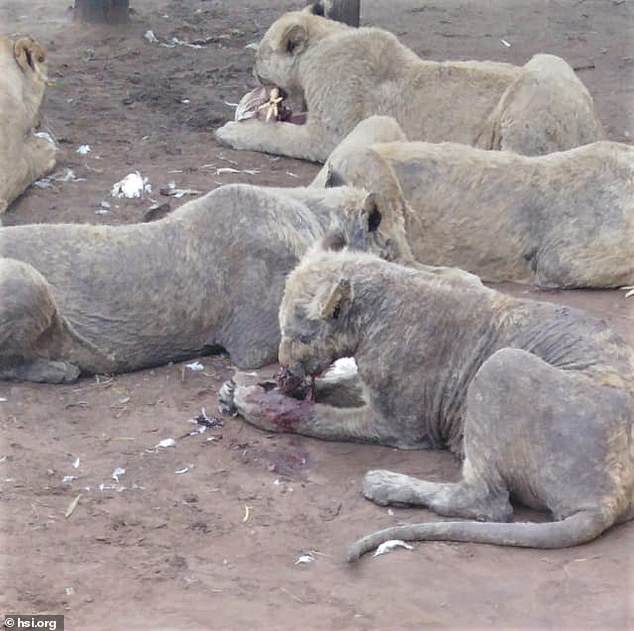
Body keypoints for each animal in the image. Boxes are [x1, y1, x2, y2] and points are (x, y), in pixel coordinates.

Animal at [216, 8, 604, 162]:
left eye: (257, 68)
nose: (252, 74)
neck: (326, 40)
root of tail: (593, 129)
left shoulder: (329, 134)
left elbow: (279, 136)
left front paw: (231, 131)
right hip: (549, 60)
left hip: (533, 90)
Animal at [218, 246, 632, 552]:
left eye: (297, 335)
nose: (285, 365)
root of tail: (606, 500)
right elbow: (337, 384)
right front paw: (239, 387)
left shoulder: (398, 425)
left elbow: (321, 418)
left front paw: (260, 405)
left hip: (500, 366)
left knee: (488, 502)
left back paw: (385, 484)